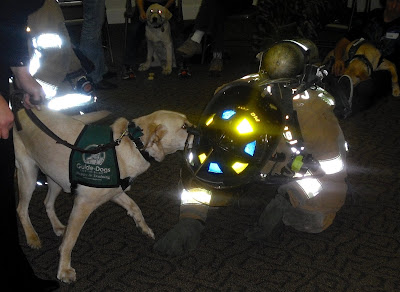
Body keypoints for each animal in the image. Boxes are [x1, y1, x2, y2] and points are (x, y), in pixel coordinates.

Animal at [14, 108, 191, 282]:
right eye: (184, 127)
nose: (198, 132)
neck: (134, 144)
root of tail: (22, 110)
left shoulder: (115, 192)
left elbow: (135, 207)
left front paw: (144, 228)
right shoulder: (82, 204)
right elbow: (70, 240)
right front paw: (64, 270)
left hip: (56, 178)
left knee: (47, 203)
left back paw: (57, 226)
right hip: (28, 175)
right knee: (21, 209)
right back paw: (32, 237)